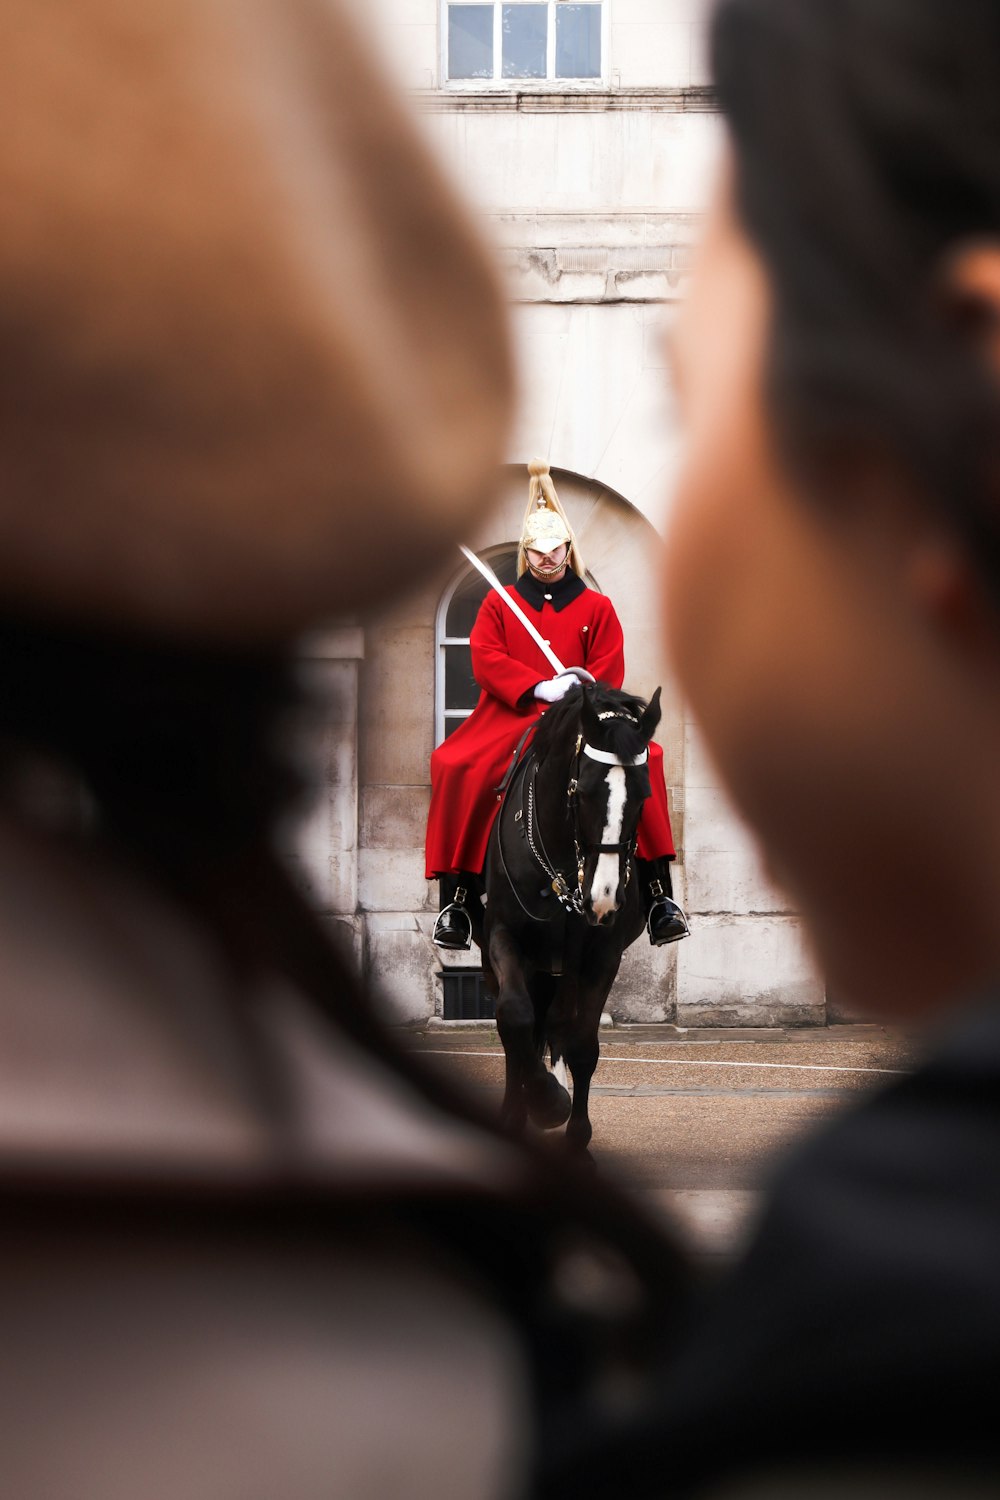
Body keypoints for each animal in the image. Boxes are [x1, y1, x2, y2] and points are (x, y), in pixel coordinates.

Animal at [479, 687, 659, 1152]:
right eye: (585, 792)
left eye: (644, 796)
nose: (603, 899)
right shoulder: (502, 935)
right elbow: (515, 1017)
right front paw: (539, 1101)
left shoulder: (601, 954)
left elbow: (581, 1044)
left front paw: (576, 1135)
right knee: (520, 1028)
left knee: (560, 1022)